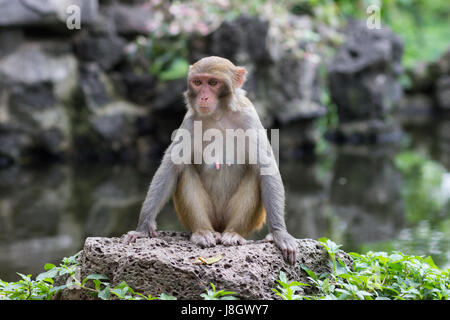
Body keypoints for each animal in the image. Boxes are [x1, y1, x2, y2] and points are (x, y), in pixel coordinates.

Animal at [124, 55, 298, 264]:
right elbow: (170, 169)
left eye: (213, 83)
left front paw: (280, 233)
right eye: (198, 83)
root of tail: (219, 226)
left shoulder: (249, 116)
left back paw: (233, 233)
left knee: (254, 175)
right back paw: (203, 232)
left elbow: (266, 169)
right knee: (185, 171)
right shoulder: (190, 121)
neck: (219, 114)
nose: (204, 97)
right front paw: (142, 229)